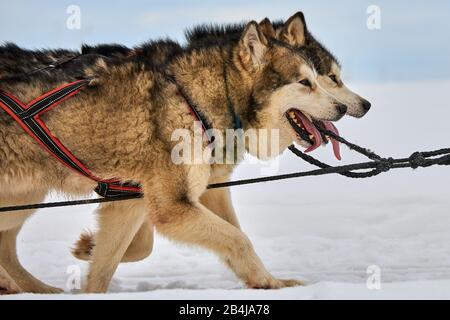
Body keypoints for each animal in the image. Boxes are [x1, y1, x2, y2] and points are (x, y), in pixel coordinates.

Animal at [0, 21, 348, 294]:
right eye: (305, 82)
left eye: (320, 78)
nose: (343, 107)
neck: (195, 99)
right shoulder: (171, 206)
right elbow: (238, 239)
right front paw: (271, 283)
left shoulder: (128, 201)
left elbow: (107, 267)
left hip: (22, 201)